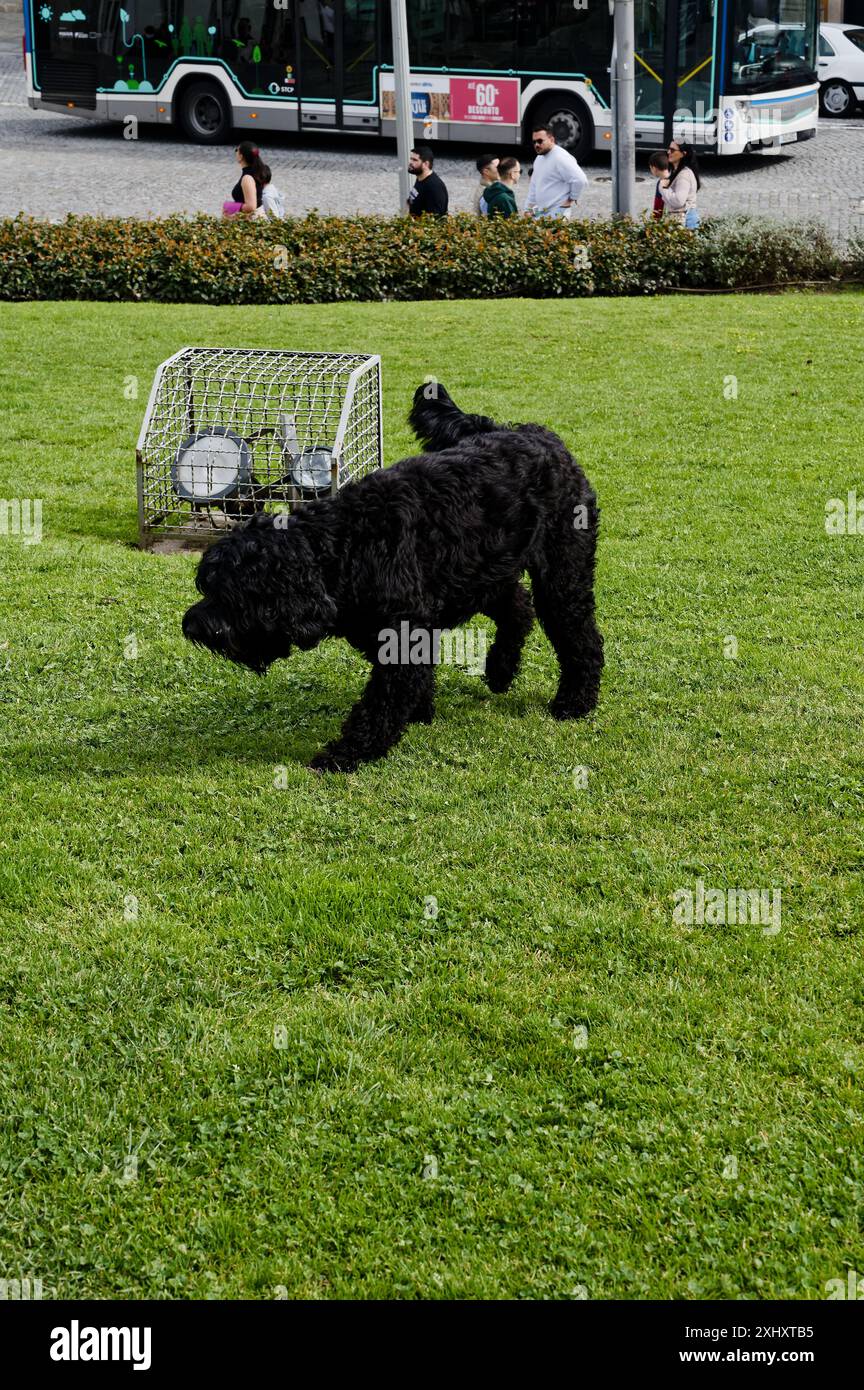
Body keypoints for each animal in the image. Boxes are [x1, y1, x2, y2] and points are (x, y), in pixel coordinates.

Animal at [183, 383, 602, 772]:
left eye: (231, 593)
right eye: (208, 586)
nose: (192, 625)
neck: (343, 548)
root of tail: (532, 432)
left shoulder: (402, 635)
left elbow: (380, 703)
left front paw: (347, 752)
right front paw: (420, 712)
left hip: (561, 573)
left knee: (579, 636)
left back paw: (574, 702)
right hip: (482, 571)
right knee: (518, 607)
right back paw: (499, 670)